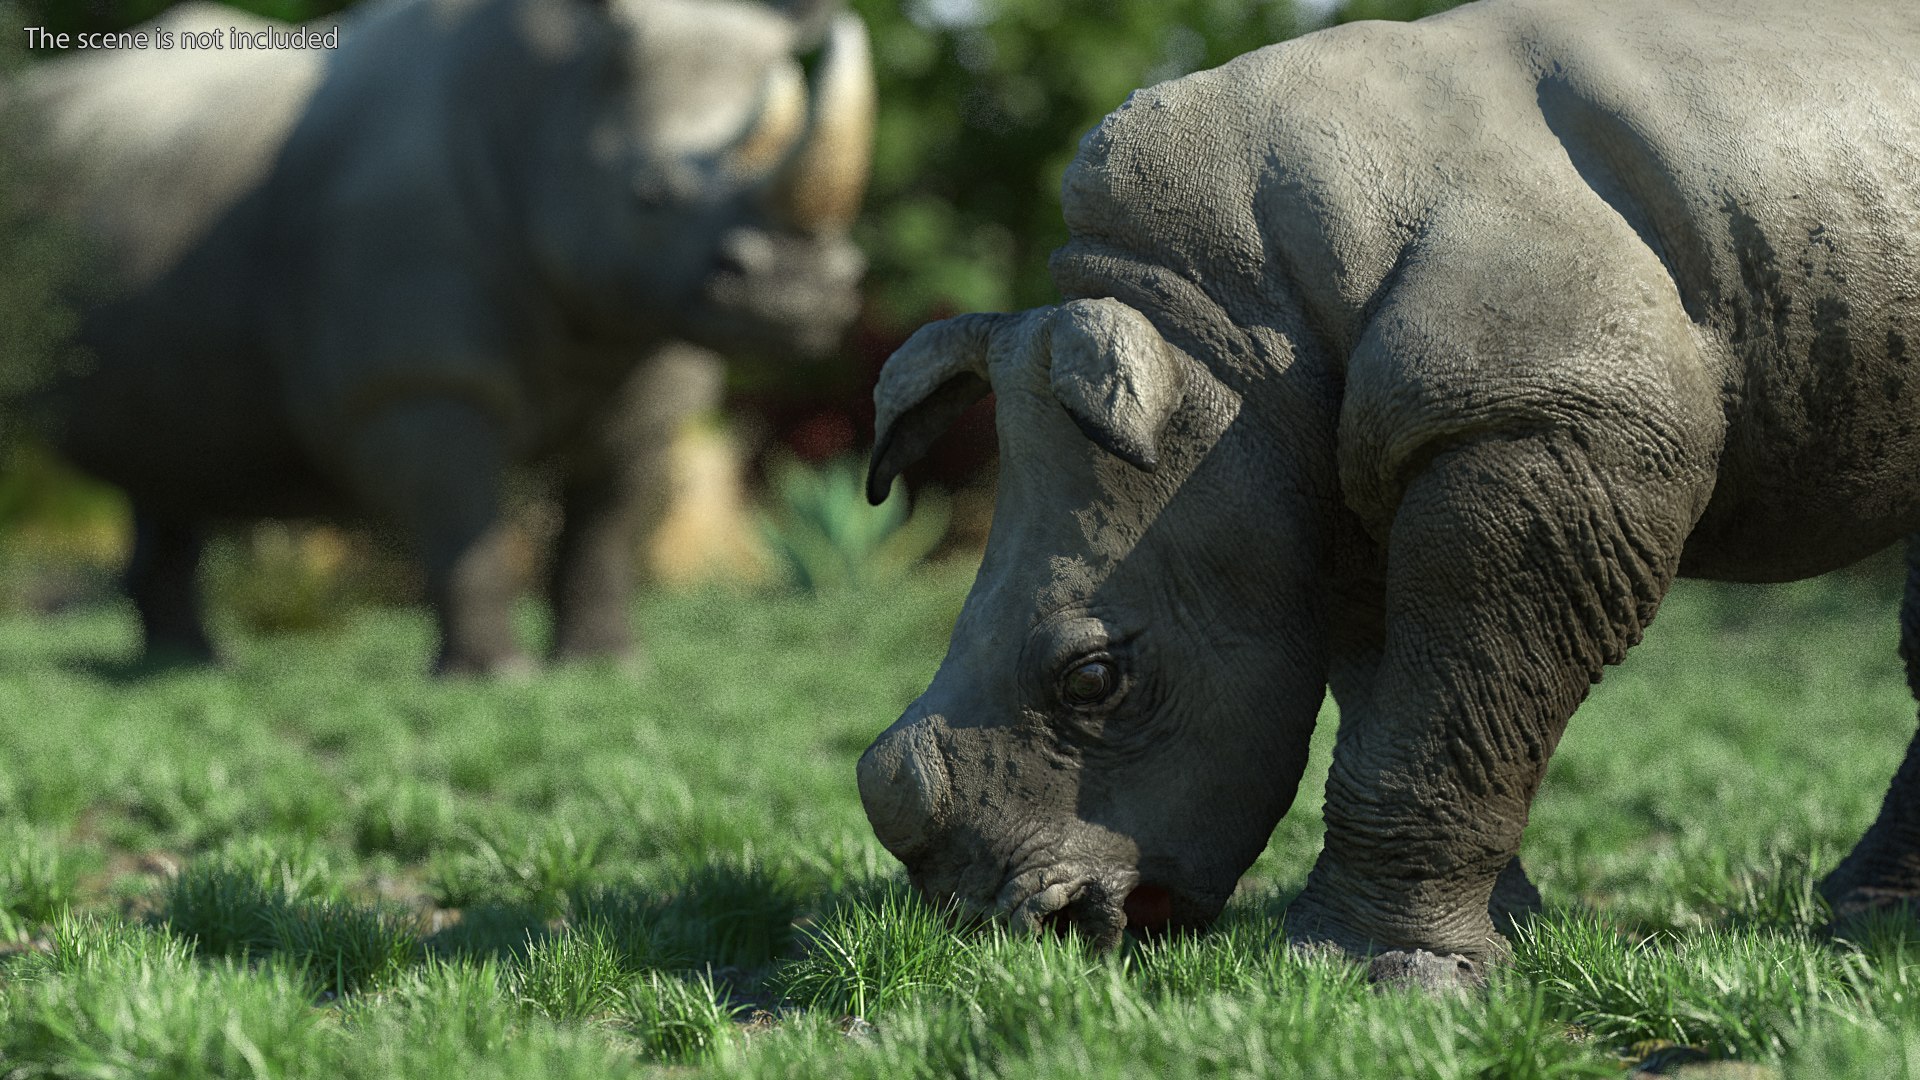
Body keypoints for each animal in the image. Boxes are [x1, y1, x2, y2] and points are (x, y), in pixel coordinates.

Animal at [6, 0, 871, 674]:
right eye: (650, 195)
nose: (798, 291)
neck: (547, 101)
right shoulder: (418, 379)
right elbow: (463, 521)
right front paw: (497, 678)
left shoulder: (647, 342)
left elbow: (610, 522)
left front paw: (608, 667)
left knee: (172, 461)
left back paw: (190, 662)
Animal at [855, 0, 1920, 986]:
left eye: (1093, 680)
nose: (1016, 925)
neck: (1234, 337)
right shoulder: (1348, 485)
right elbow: (1413, 701)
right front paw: (1496, 941)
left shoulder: (1545, 419)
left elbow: (1443, 704)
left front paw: (1374, 975)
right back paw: (1865, 913)